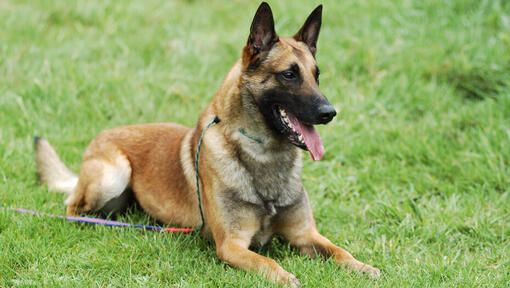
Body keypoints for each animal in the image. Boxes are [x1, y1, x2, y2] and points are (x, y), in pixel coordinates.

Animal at [35, 2, 378, 286]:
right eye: (289, 75)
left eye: (317, 76)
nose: (329, 112)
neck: (264, 155)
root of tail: (102, 135)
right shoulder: (232, 245)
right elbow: (266, 263)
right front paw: (286, 277)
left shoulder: (305, 234)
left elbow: (339, 250)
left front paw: (362, 266)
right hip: (112, 176)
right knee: (71, 206)